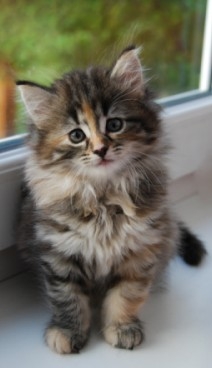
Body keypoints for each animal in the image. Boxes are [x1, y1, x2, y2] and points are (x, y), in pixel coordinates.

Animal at [16, 46, 205, 354]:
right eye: (77, 135)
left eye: (115, 124)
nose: (101, 150)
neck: (104, 197)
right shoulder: (58, 254)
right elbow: (66, 297)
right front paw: (68, 331)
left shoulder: (141, 251)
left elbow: (126, 295)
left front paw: (121, 328)